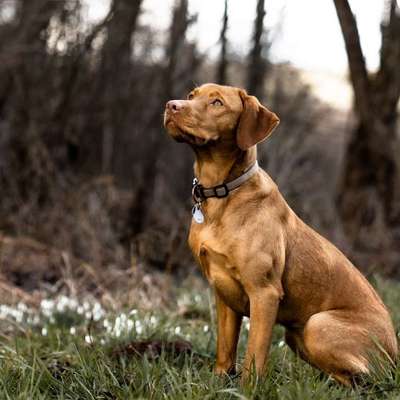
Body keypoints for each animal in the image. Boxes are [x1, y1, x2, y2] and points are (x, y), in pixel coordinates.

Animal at [162, 83, 396, 384]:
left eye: (217, 103)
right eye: (192, 96)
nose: (171, 105)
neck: (221, 193)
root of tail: (396, 352)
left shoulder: (265, 293)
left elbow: (254, 354)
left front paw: (247, 388)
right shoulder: (223, 292)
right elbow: (225, 350)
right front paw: (219, 383)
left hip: (317, 324)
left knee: (366, 379)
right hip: (297, 335)